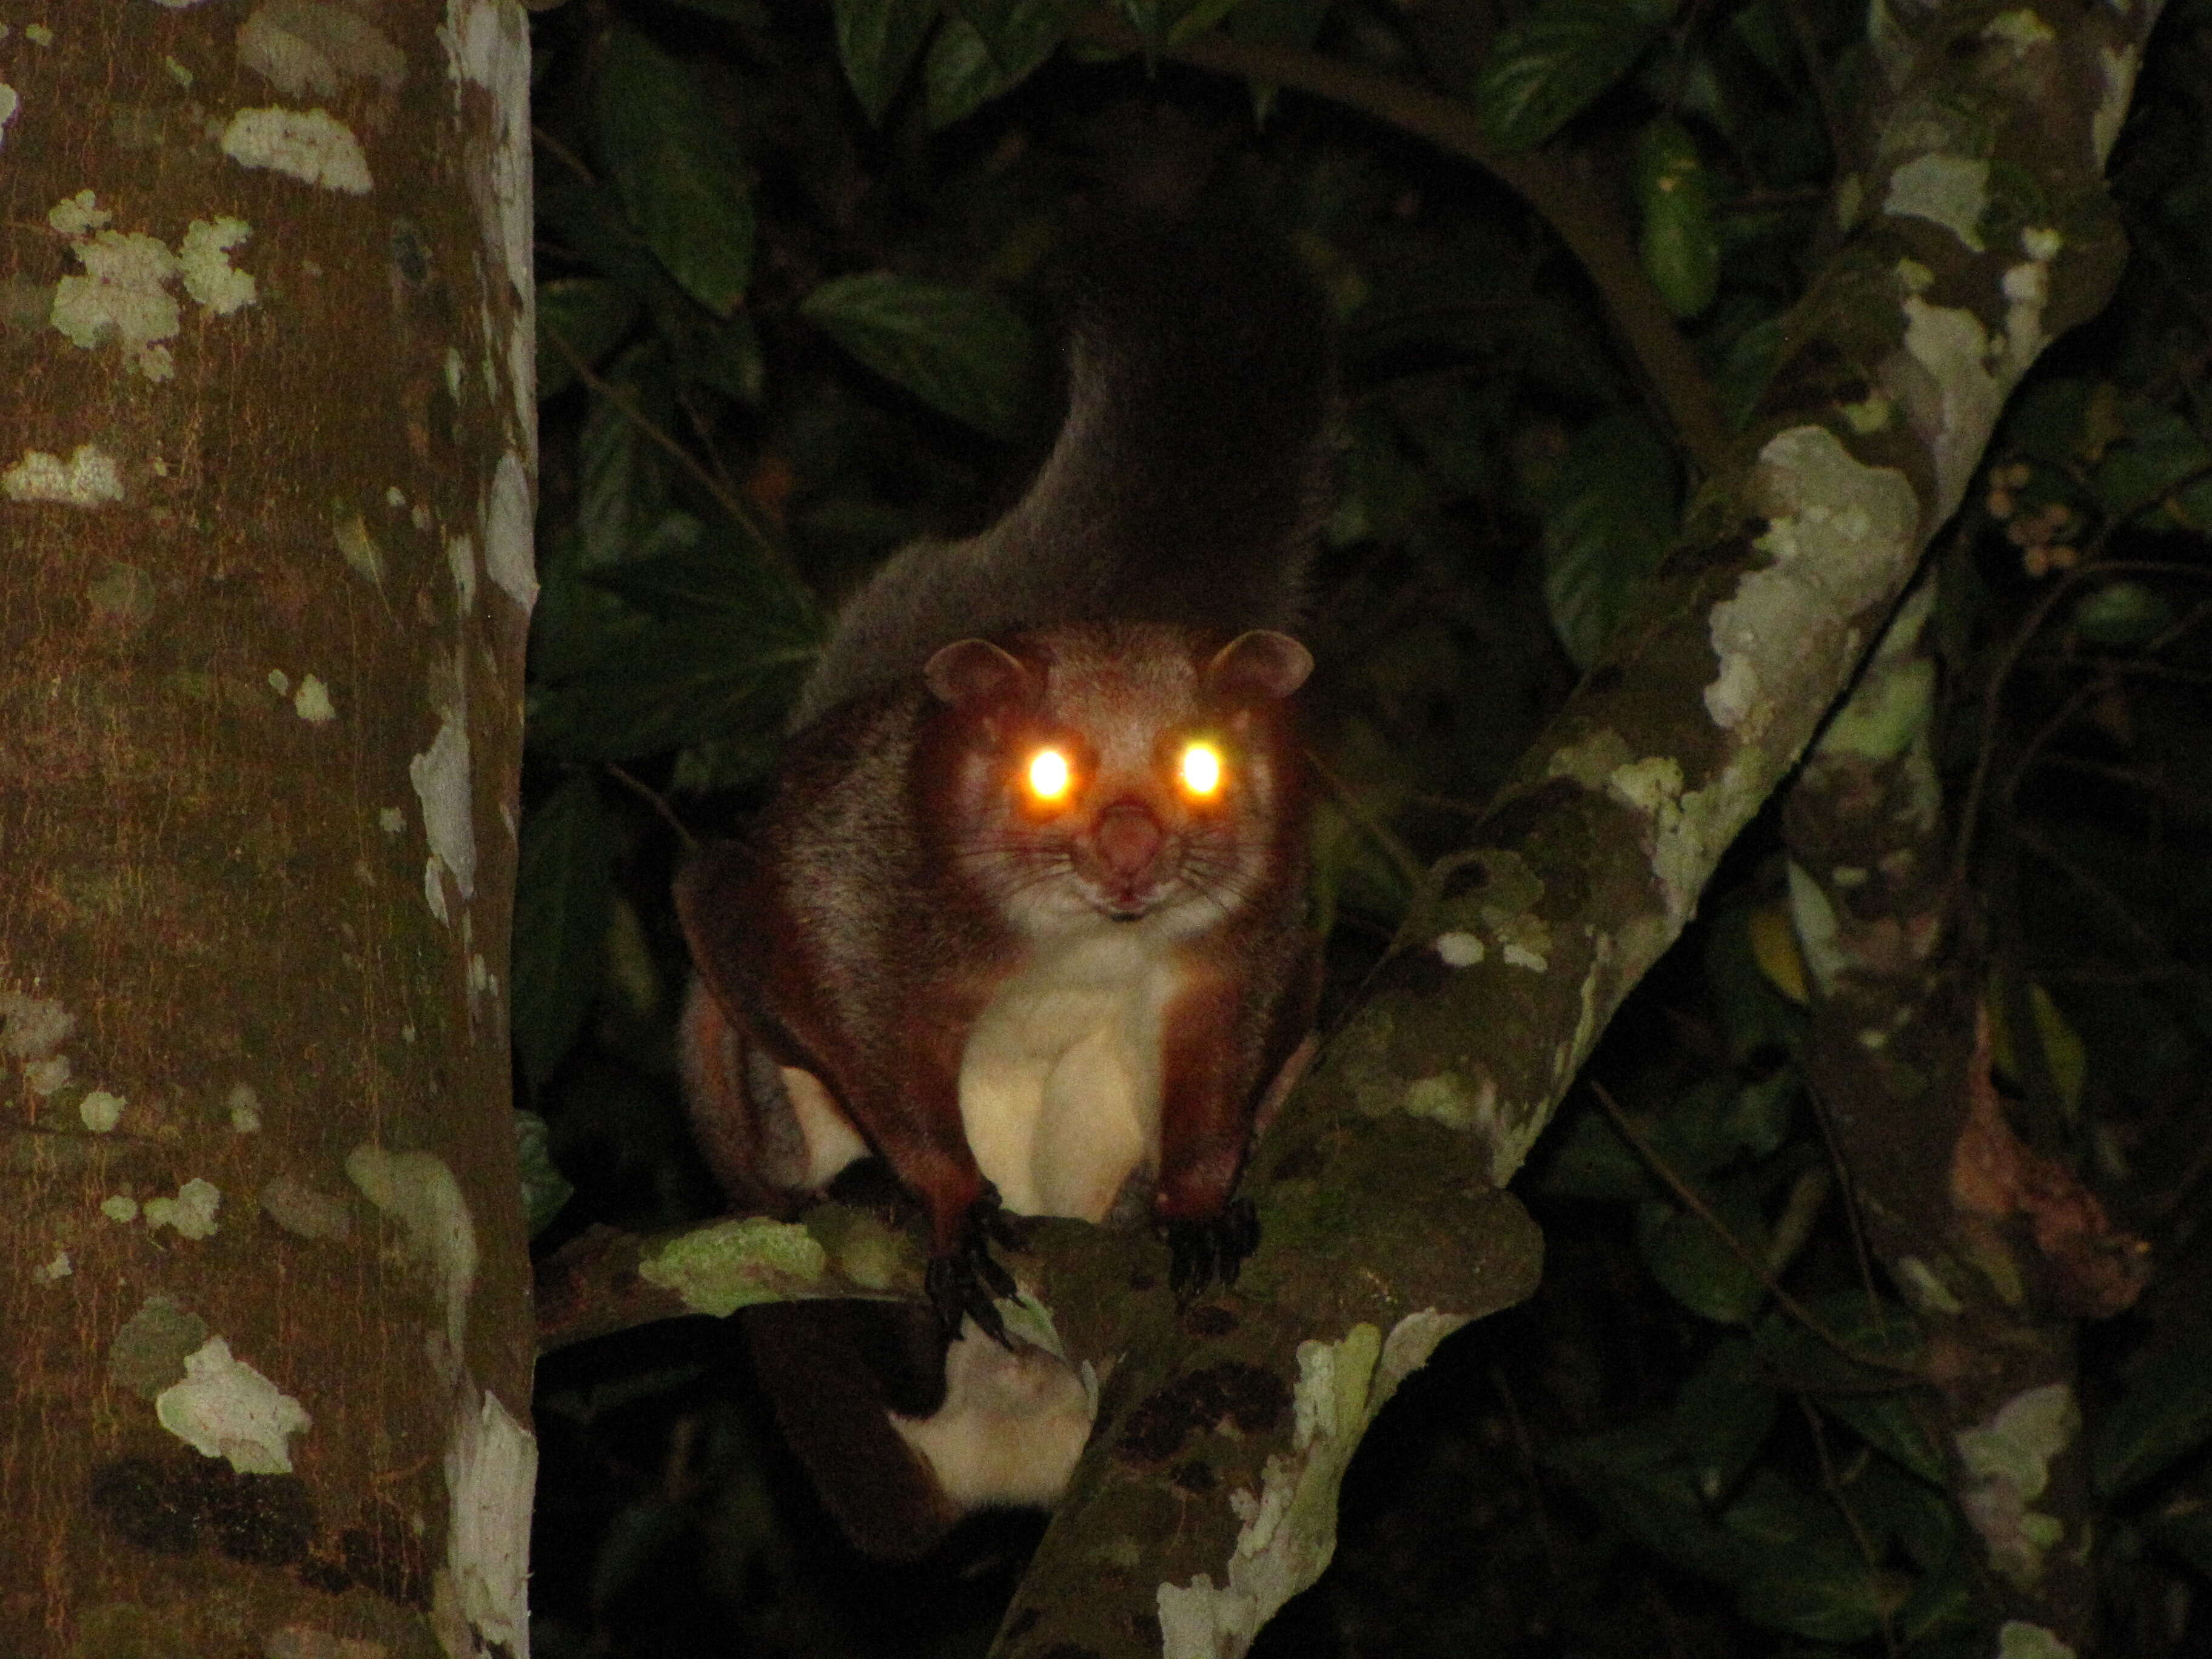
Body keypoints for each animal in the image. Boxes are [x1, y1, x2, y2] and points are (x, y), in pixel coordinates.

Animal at [668, 198, 1327, 1557]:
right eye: (1044, 770)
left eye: (1200, 767)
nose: (1131, 850)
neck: (1084, 931)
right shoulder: (839, 878)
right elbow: (794, 964)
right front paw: (942, 1196)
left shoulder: (1266, 928)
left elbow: (1244, 1034)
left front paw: (1197, 1200)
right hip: (728, 1080)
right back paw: (882, 1273)